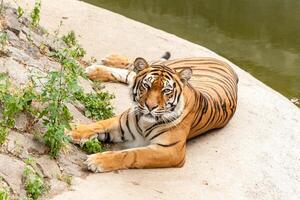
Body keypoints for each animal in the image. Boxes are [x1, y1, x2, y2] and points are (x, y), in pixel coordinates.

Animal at [67, 52, 238, 173]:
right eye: (146, 86)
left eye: (166, 91)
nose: (150, 106)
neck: (145, 122)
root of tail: (228, 65)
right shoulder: (120, 122)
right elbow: (98, 124)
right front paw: (71, 131)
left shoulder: (171, 151)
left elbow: (132, 154)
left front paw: (97, 161)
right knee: (135, 67)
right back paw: (102, 65)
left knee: (132, 72)